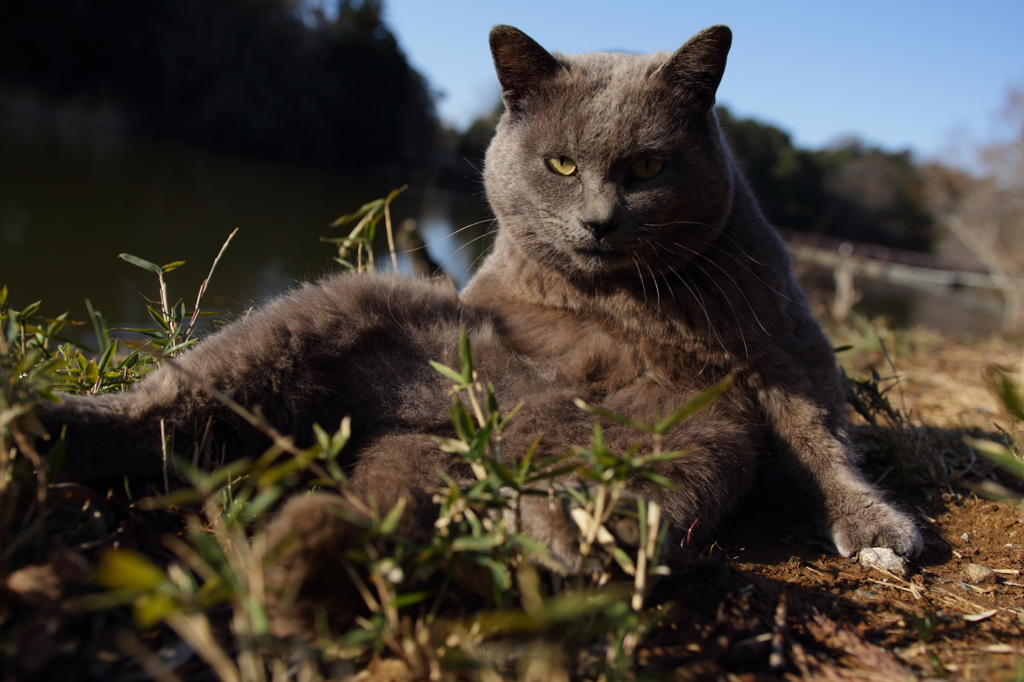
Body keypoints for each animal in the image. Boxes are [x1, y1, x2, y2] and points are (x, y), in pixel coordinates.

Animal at [36, 21, 925, 622]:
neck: (623, 294)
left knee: (481, 528)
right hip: (331, 312)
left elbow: (820, 440)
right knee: (175, 409)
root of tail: (452, 432)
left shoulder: (786, 349)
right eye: (560, 164)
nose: (598, 221)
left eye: (646, 167)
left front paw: (874, 525)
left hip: (645, 457)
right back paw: (43, 426)